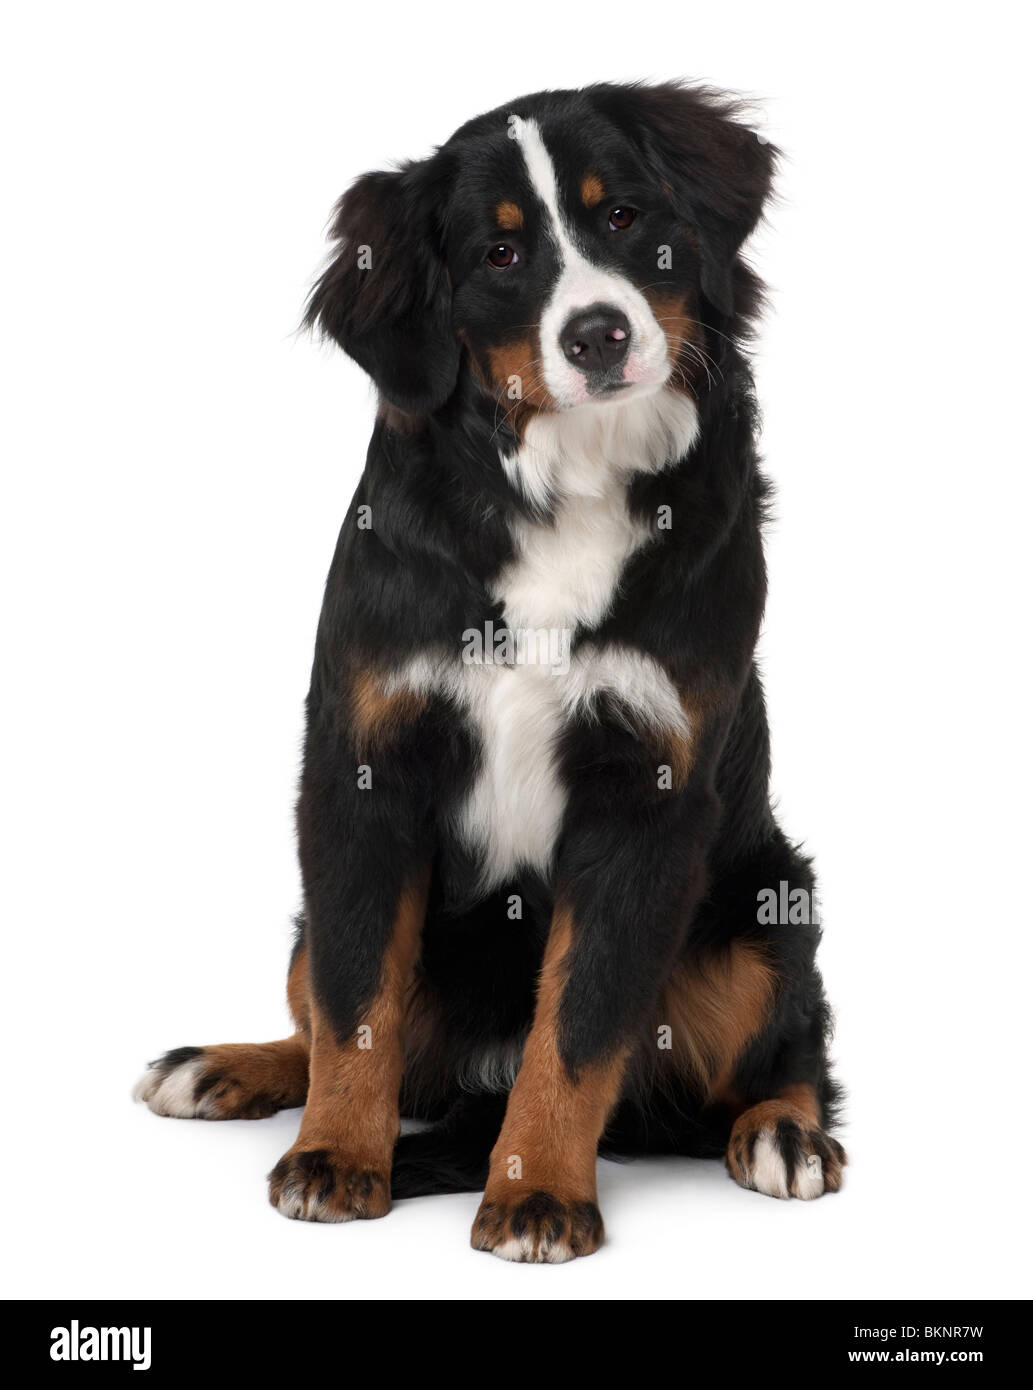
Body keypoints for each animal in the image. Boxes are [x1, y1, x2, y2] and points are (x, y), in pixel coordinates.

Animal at [137, 81, 845, 1267]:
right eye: (500, 253)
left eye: (623, 218)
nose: (598, 334)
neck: (570, 481)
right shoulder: (363, 766)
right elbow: (355, 1004)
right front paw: (334, 1156)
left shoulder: (645, 794)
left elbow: (579, 1025)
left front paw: (538, 1189)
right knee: (319, 1008)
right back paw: (226, 1067)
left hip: (760, 907)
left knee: (790, 1050)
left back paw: (784, 1133)